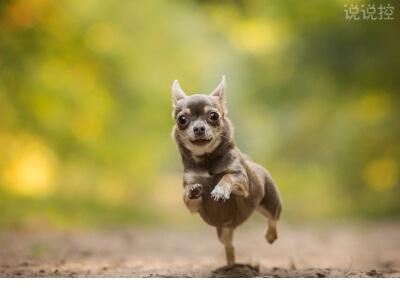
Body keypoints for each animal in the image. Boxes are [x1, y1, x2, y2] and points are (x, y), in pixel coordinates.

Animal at [172, 75, 282, 264]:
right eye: (182, 119)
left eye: (213, 116)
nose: (199, 128)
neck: (207, 159)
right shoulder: (193, 206)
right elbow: (188, 195)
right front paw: (193, 190)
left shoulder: (242, 181)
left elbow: (227, 177)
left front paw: (220, 190)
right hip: (224, 230)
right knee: (229, 246)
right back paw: (230, 264)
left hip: (271, 202)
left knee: (273, 220)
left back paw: (270, 236)